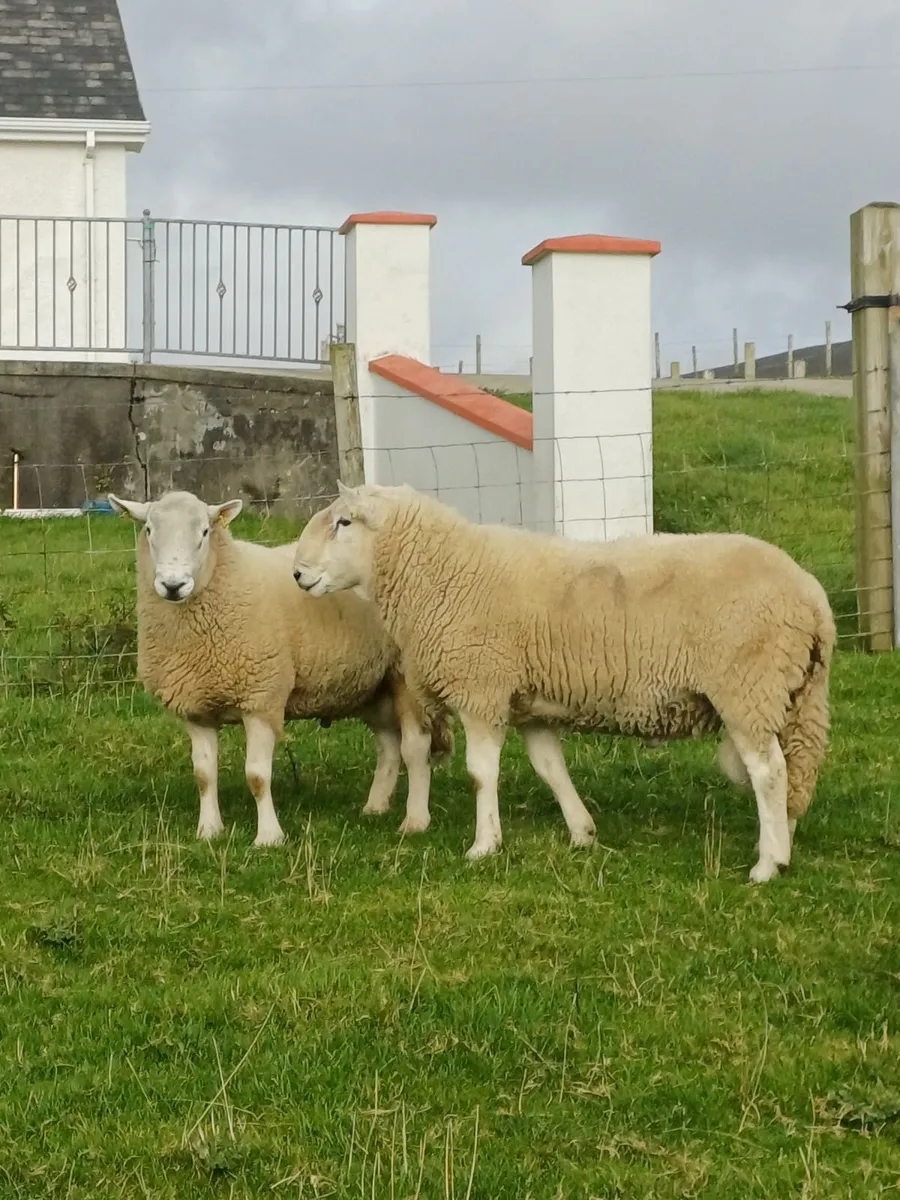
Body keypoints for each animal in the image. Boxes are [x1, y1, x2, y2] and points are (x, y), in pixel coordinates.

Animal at [108, 489, 452, 847]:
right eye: (148, 530)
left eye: (204, 532)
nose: (173, 585)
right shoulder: (196, 708)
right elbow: (203, 775)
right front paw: (209, 831)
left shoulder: (261, 698)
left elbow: (257, 776)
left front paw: (269, 838)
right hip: (372, 682)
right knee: (388, 744)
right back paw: (375, 807)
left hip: (404, 675)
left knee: (415, 748)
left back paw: (415, 820)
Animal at [291, 481, 835, 884]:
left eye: (343, 522)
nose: (297, 574)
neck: (443, 574)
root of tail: (812, 598)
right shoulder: (530, 703)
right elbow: (551, 769)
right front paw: (582, 833)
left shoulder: (482, 689)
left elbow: (480, 774)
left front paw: (484, 845)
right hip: (789, 694)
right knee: (792, 772)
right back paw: (781, 846)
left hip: (748, 687)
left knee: (769, 772)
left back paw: (766, 865)